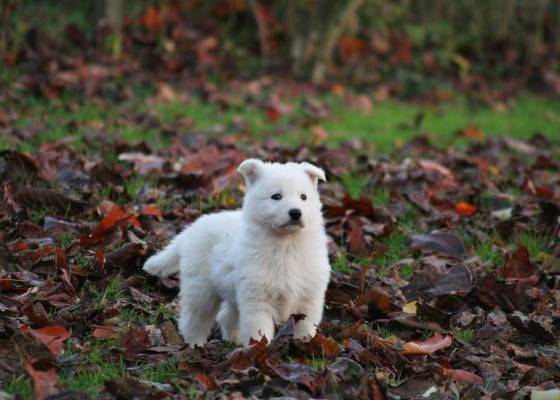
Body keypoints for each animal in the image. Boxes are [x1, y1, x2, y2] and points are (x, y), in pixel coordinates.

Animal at [142, 158, 330, 346]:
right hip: (200, 287)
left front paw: (306, 344)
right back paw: (195, 343)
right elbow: (259, 331)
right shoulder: (257, 300)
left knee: (226, 315)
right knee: (195, 318)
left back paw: (233, 339)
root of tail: (191, 229)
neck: (287, 244)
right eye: (276, 196)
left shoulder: (308, 298)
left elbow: (305, 327)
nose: (296, 212)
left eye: (304, 197)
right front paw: (260, 350)